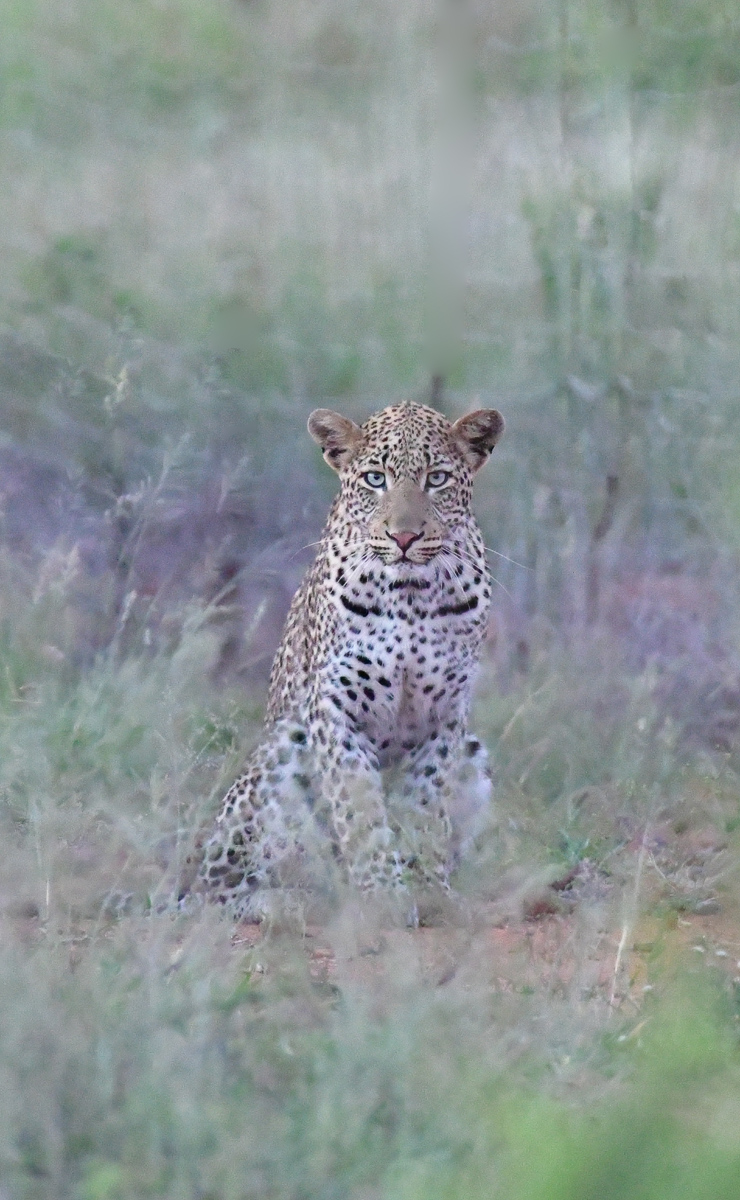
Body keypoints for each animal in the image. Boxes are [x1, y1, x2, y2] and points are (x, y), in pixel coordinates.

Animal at [183, 399, 504, 919]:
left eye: (437, 479)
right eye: (375, 479)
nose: (405, 537)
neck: (411, 595)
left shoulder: (445, 715)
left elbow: (426, 805)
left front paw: (428, 887)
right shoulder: (336, 708)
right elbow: (358, 807)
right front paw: (383, 891)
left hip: (474, 753)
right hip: (277, 757)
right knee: (220, 889)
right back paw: (289, 902)